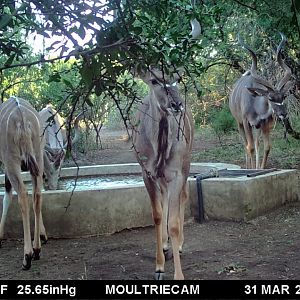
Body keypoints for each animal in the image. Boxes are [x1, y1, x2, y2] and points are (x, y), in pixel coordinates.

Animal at [0, 96, 46, 270]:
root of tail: (23, 120)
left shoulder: (7, 165)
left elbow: (7, 195)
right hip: (38, 157)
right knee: (37, 194)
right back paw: (37, 248)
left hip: (11, 161)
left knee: (22, 195)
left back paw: (27, 256)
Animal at [132, 68, 193, 278]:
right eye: (154, 80)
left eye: (177, 78)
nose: (177, 104)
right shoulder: (147, 174)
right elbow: (157, 216)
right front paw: (159, 267)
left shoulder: (176, 174)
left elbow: (173, 223)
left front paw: (179, 276)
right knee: (165, 197)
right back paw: (166, 245)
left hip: (186, 164)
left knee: (184, 195)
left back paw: (179, 245)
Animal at [231, 33, 292, 169]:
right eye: (270, 98)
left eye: (284, 97)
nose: (283, 114)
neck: (256, 106)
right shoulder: (246, 122)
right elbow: (250, 147)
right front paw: (251, 169)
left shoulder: (264, 124)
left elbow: (266, 147)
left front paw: (260, 168)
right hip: (239, 123)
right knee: (246, 145)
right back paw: (248, 166)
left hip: (257, 127)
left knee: (257, 143)